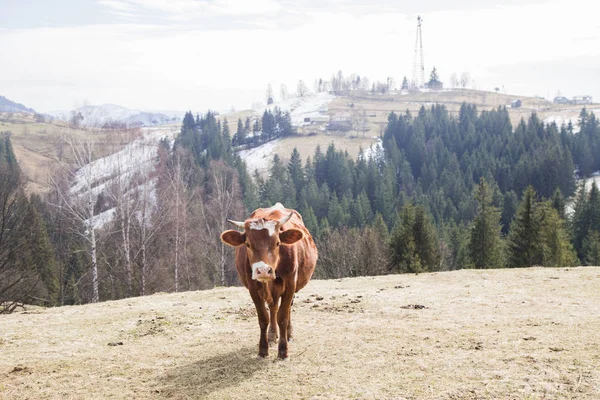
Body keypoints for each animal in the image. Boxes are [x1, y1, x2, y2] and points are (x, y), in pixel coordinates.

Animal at [221, 203, 318, 360]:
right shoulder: (253, 287)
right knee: (273, 308)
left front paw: (283, 351)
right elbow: (263, 318)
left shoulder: (290, 284)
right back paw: (272, 336)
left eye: (278, 243)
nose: (263, 270)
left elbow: (283, 317)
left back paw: (289, 334)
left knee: (286, 309)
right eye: (247, 244)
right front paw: (263, 349)